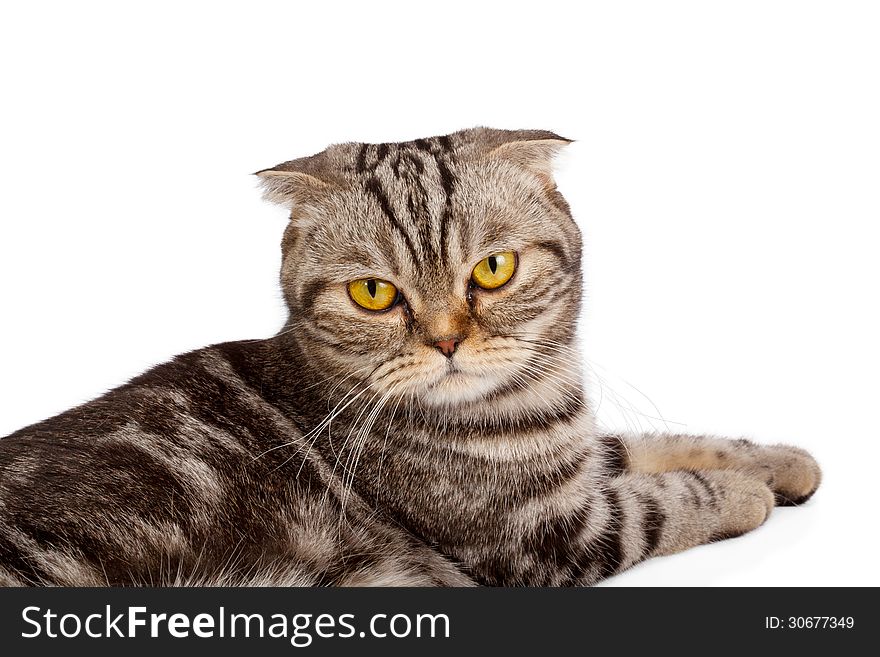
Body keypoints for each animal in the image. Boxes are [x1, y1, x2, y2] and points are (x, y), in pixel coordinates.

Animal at [0, 127, 820, 584]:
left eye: (493, 270)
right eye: (373, 293)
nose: (448, 338)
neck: (531, 403)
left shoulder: (577, 464)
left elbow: (663, 444)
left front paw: (784, 464)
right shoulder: (549, 537)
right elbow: (668, 498)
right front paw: (746, 494)